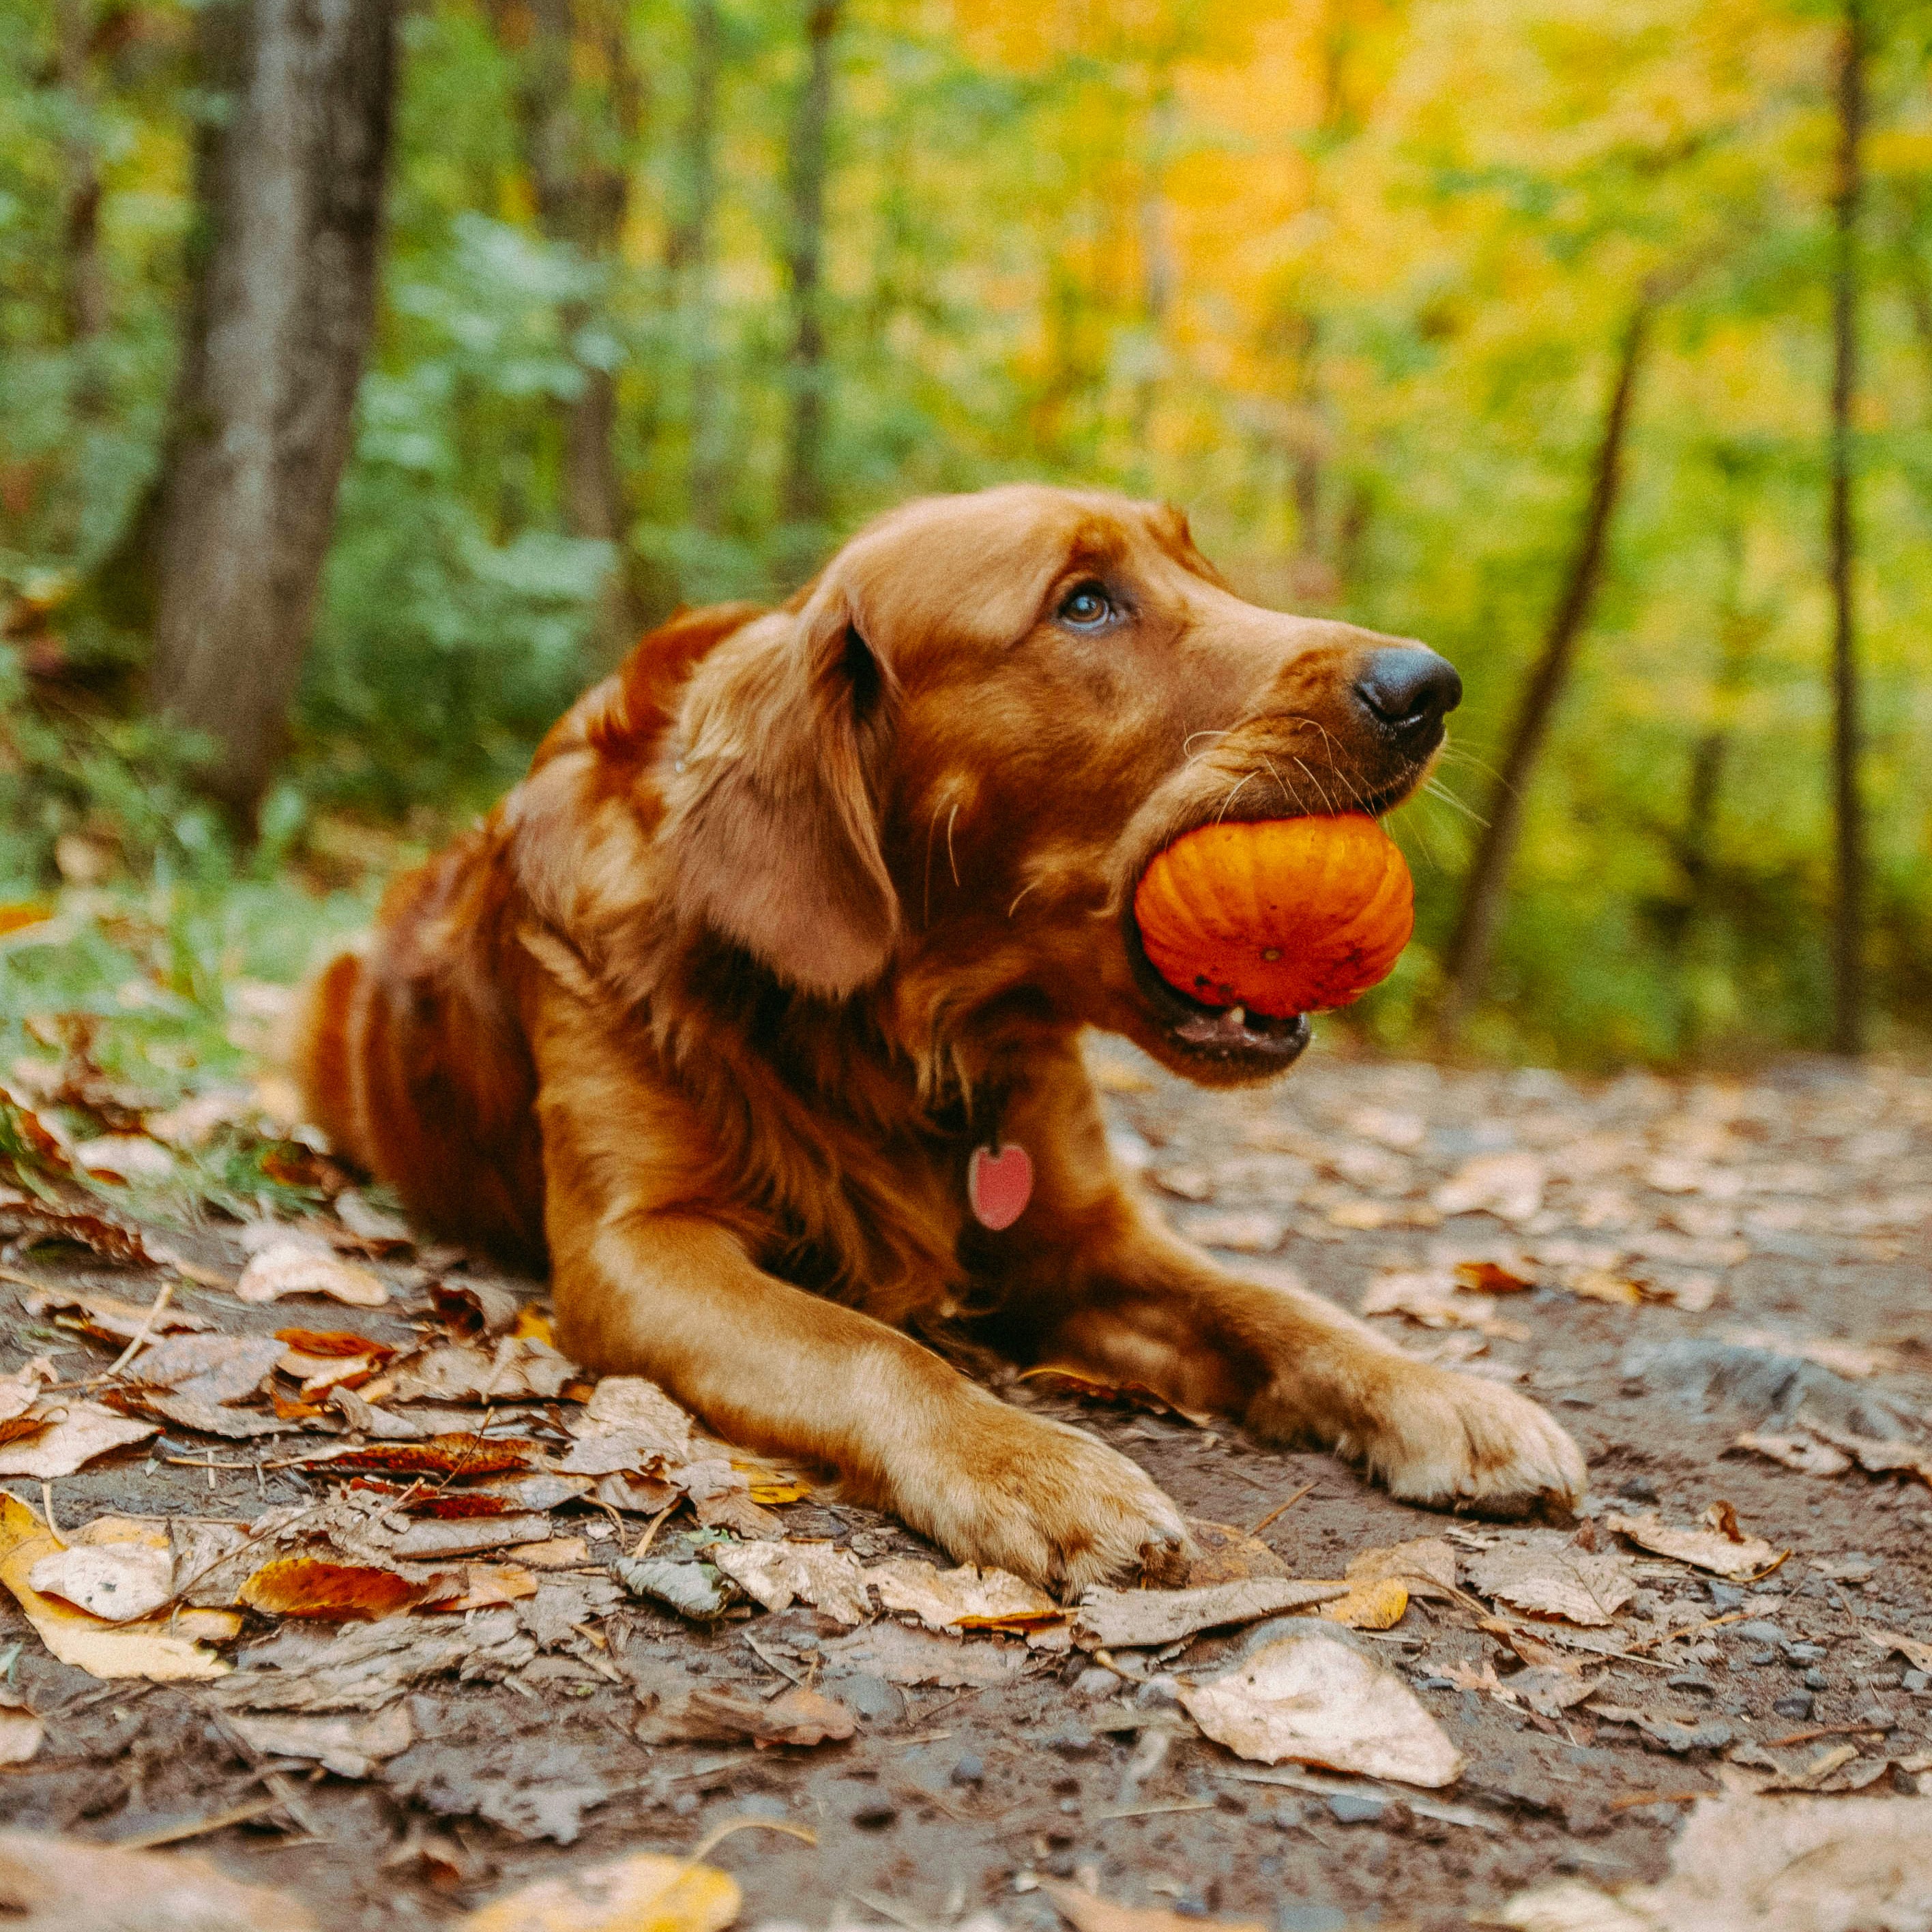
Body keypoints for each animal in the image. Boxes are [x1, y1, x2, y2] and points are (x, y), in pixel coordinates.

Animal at [297, 491, 1584, 1592]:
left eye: (1202, 567)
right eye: (1084, 603)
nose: (1427, 686)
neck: (916, 1038)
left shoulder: (1086, 1234)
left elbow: (1275, 1302)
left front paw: (1443, 1397)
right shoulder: (641, 1248)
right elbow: (867, 1344)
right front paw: (1033, 1467)